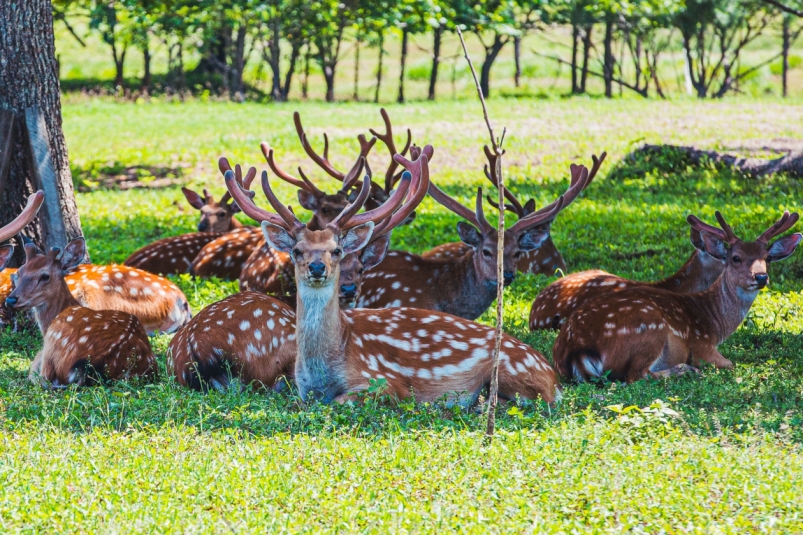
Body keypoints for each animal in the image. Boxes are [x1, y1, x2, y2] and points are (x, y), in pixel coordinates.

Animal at [5, 241, 157, 388]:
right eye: (19, 272)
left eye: (45, 276)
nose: (11, 299)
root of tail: (91, 369)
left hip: (54, 339)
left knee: (44, 378)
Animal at [226, 147, 564, 406]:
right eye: (297, 250)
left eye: (337, 250)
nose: (318, 267)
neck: (324, 370)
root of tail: (553, 377)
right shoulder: (302, 391)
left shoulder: (382, 382)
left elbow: (343, 400)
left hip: (510, 370)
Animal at [556, 211, 800, 384]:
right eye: (736, 258)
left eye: (766, 258)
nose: (761, 277)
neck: (714, 321)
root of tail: (577, 348)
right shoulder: (701, 344)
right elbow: (730, 364)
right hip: (650, 330)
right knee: (636, 376)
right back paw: (687, 370)